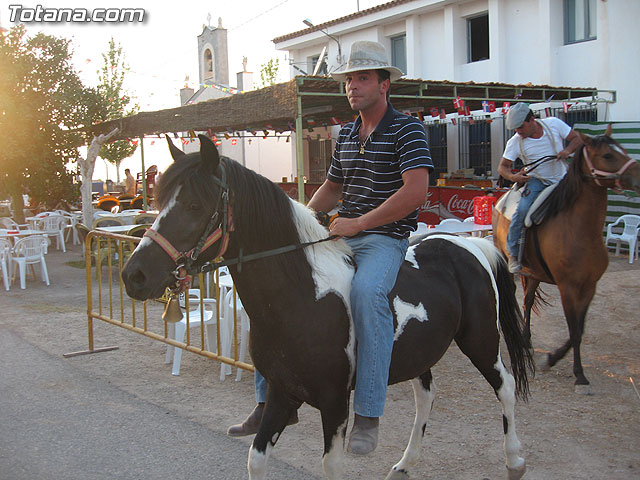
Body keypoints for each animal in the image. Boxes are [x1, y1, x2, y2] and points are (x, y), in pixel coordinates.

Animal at [122, 134, 534, 480]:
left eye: (194, 204)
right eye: (159, 201)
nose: (134, 275)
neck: (304, 298)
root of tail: (469, 245)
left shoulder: (334, 403)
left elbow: (330, 465)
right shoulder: (280, 393)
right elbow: (256, 458)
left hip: (480, 341)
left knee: (506, 387)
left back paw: (515, 459)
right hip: (422, 353)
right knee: (426, 398)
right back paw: (405, 463)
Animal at [493, 125, 640, 394]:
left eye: (622, 149)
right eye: (607, 155)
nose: (638, 176)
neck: (580, 229)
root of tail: (502, 198)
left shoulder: (589, 286)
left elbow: (578, 330)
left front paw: (553, 359)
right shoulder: (568, 287)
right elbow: (574, 329)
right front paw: (578, 373)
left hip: (533, 273)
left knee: (528, 301)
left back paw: (526, 340)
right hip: (509, 266)